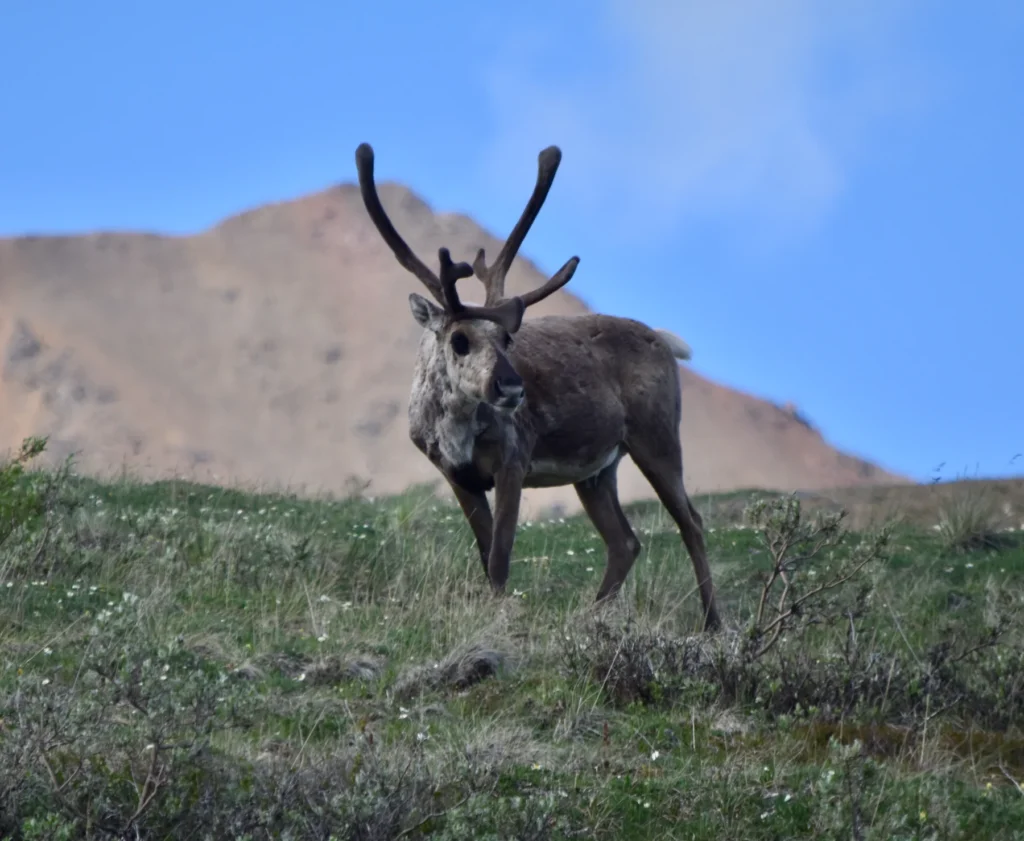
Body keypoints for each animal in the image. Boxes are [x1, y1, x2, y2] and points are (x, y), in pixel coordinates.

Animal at [354, 142, 722, 631]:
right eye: (459, 339)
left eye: (507, 337)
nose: (512, 388)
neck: (454, 425)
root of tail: (662, 340)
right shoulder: (456, 474)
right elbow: (484, 551)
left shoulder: (514, 461)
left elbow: (499, 558)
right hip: (597, 469)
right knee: (625, 541)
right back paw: (589, 617)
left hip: (656, 436)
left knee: (691, 522)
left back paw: (712, 622)